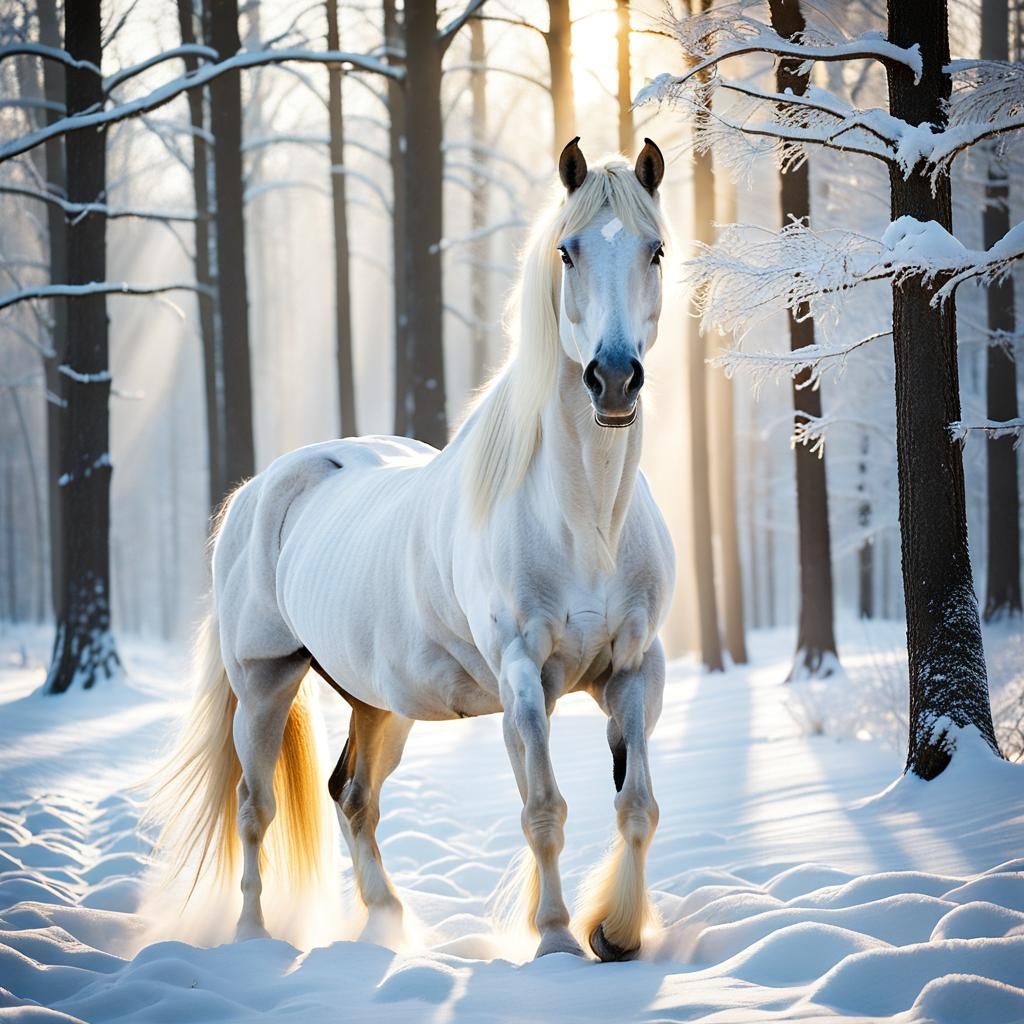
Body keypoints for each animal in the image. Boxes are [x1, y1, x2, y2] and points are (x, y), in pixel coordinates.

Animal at [152, 137, 675, 963]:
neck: (584, 526)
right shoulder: (524, 681)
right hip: (264, 682)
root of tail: (259, 491)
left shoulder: (633, 670)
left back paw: (387, 921)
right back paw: (254, 937)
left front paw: (617, 933)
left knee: (353, 796)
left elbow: (638, 808)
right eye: (567, 250)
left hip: (376, 702)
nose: (615, 378)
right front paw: (556, 941)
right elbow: (544, 810)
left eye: (655, 251)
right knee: (253, 805)